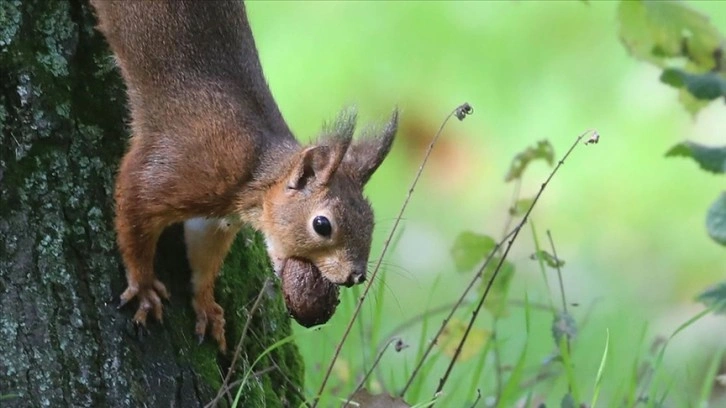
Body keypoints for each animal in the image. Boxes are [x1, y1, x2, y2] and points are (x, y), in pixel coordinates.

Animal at [91, 0, 400, 350]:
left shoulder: (215, 220)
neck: (255, 174)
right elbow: (135, 206)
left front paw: (206, 305)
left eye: (370, 220)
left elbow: (204, 252)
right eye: (322, 225)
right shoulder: (179, 167)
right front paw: (143, 285)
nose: (356, 276)